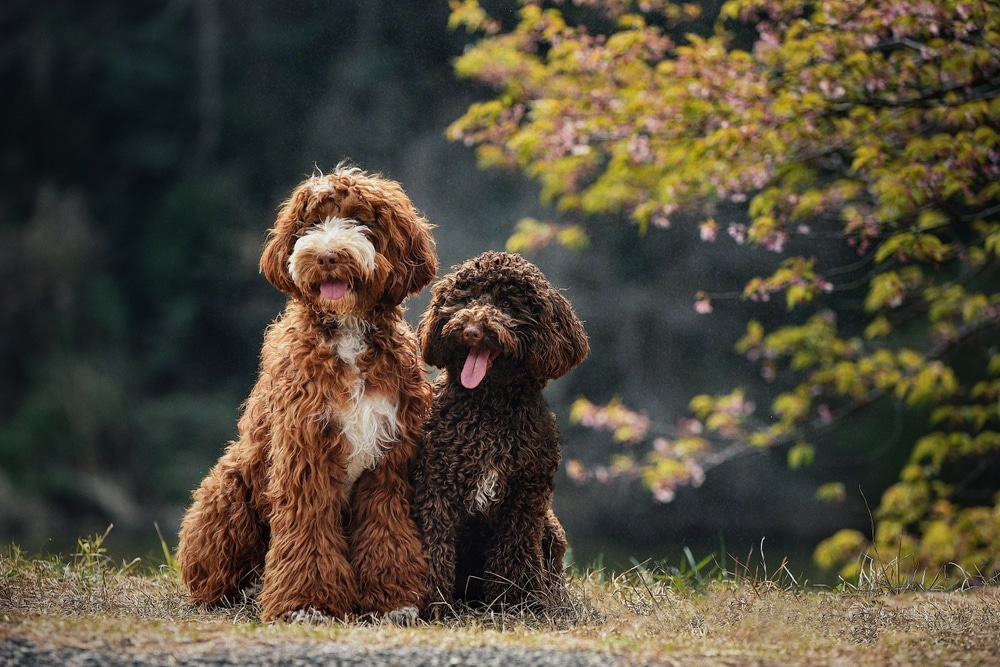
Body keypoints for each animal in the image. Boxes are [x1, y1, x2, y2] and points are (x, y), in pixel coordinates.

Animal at [175, 164, 438, 624]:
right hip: (227, 492)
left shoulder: (388, 459)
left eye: (360, 220)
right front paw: (307, 603)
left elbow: (385, 527)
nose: (327, 256)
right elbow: (308, 526)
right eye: (311, 224)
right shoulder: (306, 449)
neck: (347, 331)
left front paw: (392, 600)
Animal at [410, 253, 588, 620]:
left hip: (550, 529)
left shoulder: (524, 500)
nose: (471, 330)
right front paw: (433, 606)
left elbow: (515, 555)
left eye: (507, 304)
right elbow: (435, 547)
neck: (490, 409)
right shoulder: (436, 491)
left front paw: (516, 603)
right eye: (465, 299)